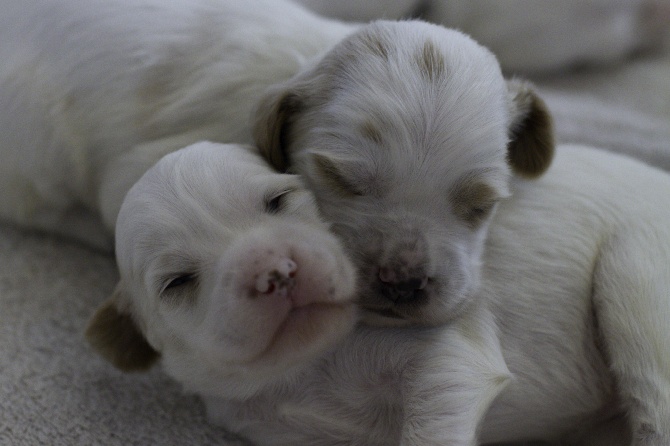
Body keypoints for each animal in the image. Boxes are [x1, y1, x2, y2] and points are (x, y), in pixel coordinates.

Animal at [89, 141, 670, 444]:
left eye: (278, 199)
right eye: (177, 281)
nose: (277, 270)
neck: (310, 366)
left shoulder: (446, 358)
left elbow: (444, 395)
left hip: (634, 282)